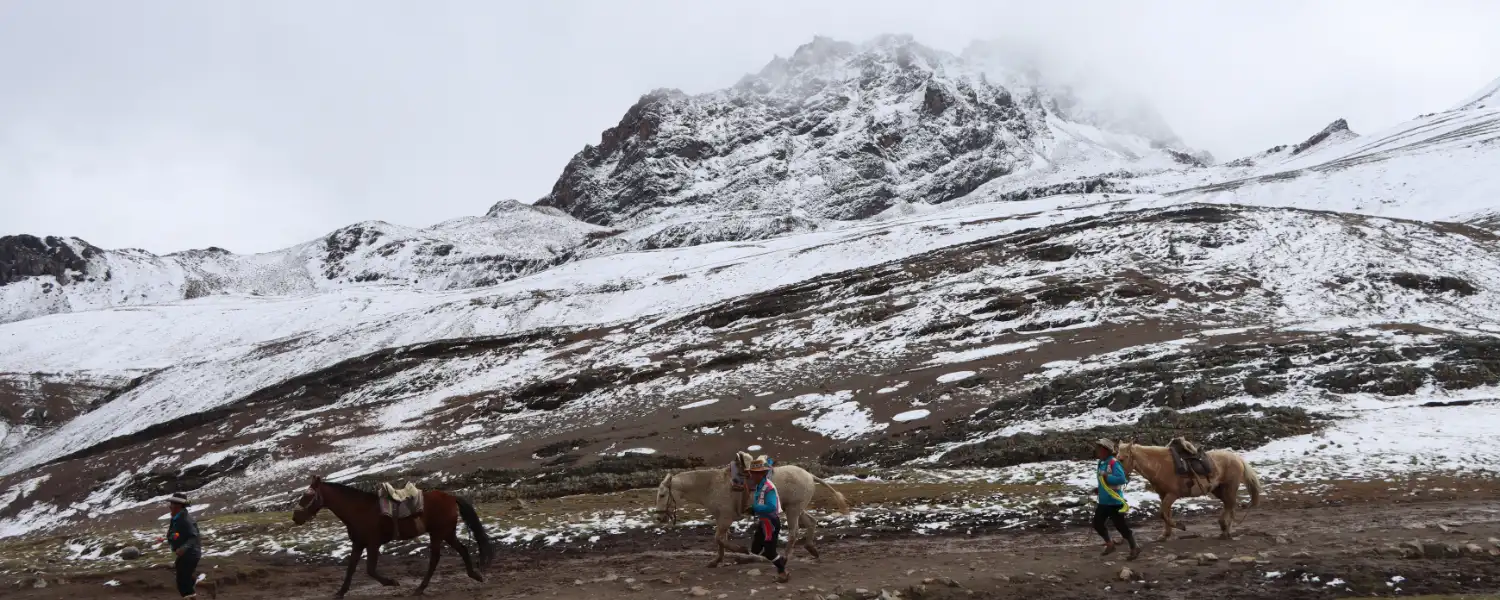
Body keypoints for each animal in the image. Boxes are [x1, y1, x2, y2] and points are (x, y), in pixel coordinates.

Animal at [292, 477, 498, 597]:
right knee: (462, 550)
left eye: (307, 496)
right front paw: (340, 592)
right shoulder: (358, 543)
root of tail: (451, 497)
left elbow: (370, 569)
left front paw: (392, 582)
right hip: (446, 533)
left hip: (440, 533)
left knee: (435, 559)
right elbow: (351, 569)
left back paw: (420, 588)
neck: (359, 509)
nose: (295, 518)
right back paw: (474, 575)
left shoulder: (373, 544)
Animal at [654, 465, 852, 567]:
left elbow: (719, 539)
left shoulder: (725, 518)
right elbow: (720, 541)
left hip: (793, 510)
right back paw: (812, 549)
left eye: (662, 495)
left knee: (794, 533)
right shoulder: (721, 519)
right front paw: (716, 560)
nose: (659, 518)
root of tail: (809, 475)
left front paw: (742, 551)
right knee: (811, 522)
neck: (711, 486)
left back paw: (786, 557)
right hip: (796, 508)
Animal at [1116, 444, 1266, 540]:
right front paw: (1165, 535)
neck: (1159, 466)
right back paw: (1225, 529)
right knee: (1230, 506)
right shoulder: (1163, 495)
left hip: (1229, 488)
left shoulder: (1172, 495)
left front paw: (1180, 526)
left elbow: (1163, 514)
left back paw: (1224, 528)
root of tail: (1237, 458)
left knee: (1230, 506)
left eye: (1122, 458)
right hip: (1219, 490)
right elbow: (1165, 514)